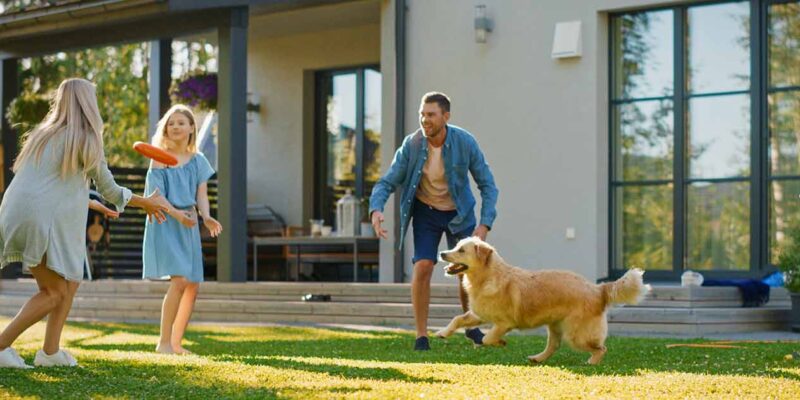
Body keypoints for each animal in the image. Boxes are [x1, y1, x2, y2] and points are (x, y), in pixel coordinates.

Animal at [434, 238, 648, 366]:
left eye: (461, 250)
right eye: (456, 246)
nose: (442, 253)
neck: (488, 276)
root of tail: (597, 289)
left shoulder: (505, 323)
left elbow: (487, 338)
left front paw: (499, 341)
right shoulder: (479, 314)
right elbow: (458, 319)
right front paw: (442, 332)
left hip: (575, 335)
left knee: (601, 347)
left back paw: (592, 362)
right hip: (555, 326)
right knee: (553, 346)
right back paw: (537, 358)